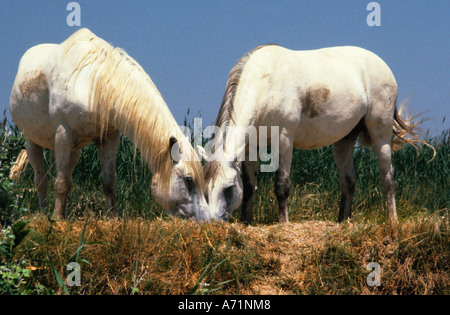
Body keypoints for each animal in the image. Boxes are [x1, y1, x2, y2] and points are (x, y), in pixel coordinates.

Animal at [8, 29, 209, 221]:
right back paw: (43, 214)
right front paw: (57, 219)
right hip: (32, 141)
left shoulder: (109, 138)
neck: (93, 84)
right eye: (188, 180)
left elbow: (109, 183)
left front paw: (113, 217)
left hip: (75, 149)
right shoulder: (63, 133)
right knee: (41, 180)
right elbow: (61, 183)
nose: (206, 220)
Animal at [203, 45, 428, 226]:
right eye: (204, 189)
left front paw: (283, 224)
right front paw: (246, 222)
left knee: (388, 177)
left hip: (380, 133)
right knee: (349, 179)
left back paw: (393, 221)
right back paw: (343, 221)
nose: (212, 222)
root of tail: (383, 66)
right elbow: (250, 186)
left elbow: (281, 184)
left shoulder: (284, 139)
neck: (267, 83)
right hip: (343, 141)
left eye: (228, 188)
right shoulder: (251, 146)